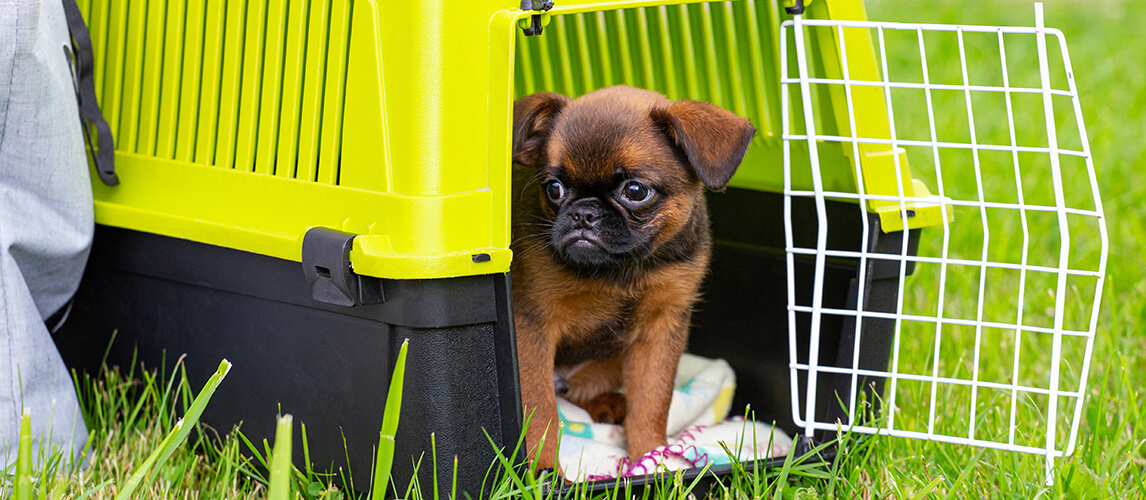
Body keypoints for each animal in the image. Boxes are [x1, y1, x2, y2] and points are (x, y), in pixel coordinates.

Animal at [515, 83, 756, 470]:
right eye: (553, 189)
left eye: (636, 191)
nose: (583, 213)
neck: (621, 269)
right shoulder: (532, 329)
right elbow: (540, 410)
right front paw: (543, 471)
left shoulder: (660, 331)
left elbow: (652, 400)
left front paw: (652, 459)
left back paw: (608, 405)